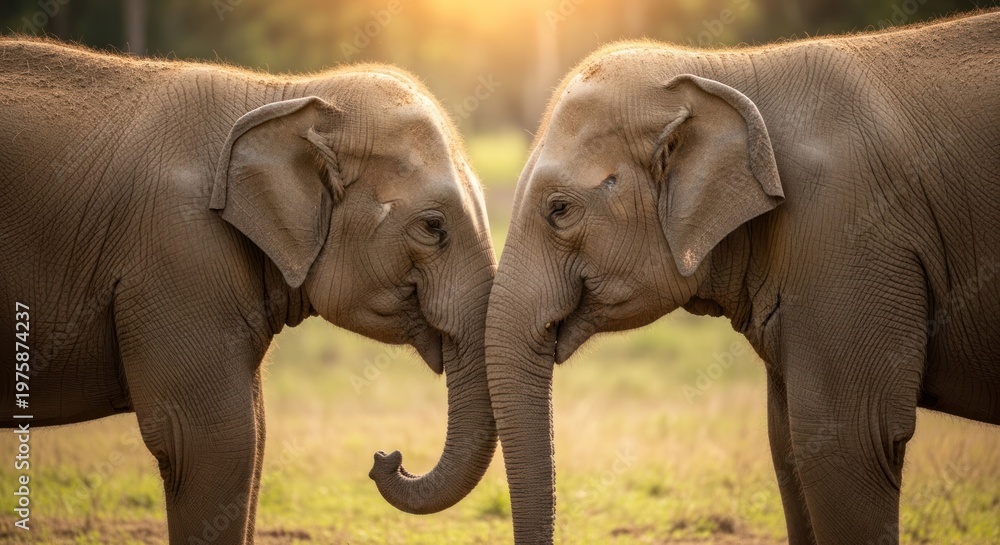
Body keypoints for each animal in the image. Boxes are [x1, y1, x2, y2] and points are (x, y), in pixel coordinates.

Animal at [0, 38, 496, 543]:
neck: (286, 94)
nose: (386, 458)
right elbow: (210, 440)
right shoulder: (179, 249)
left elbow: (253, 434)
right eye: (433, 227)